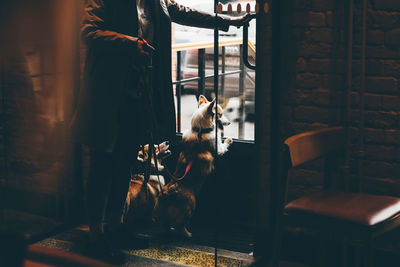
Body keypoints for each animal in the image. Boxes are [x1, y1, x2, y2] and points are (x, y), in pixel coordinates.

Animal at [155, 95, 233, 238]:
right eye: (220, 114)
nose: (229, 123)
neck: (200, 131)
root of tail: (168, 193)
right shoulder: (218, 149)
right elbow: (223, 146)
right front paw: (229, 140)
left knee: (166, 225)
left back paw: (171, 230)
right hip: (190, 206)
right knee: (180, 226)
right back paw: (188, 234)